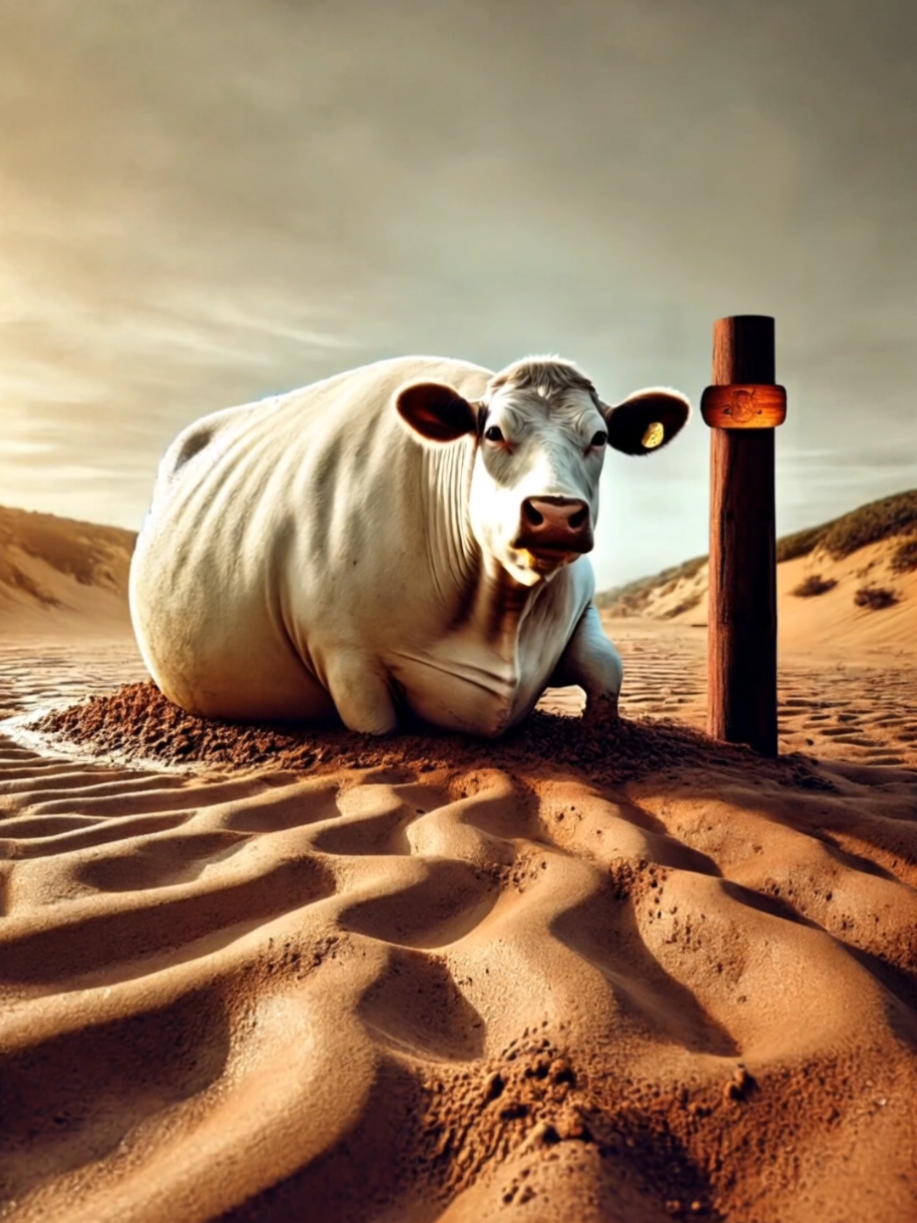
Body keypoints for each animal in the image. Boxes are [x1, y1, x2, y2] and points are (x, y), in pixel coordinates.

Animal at [129, 356, 690, 737]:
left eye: (599, 438)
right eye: (493, 433)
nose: (554, 513)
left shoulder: (584, 601)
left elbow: (606, 666)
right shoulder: (344, 652)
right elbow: (378, 724)